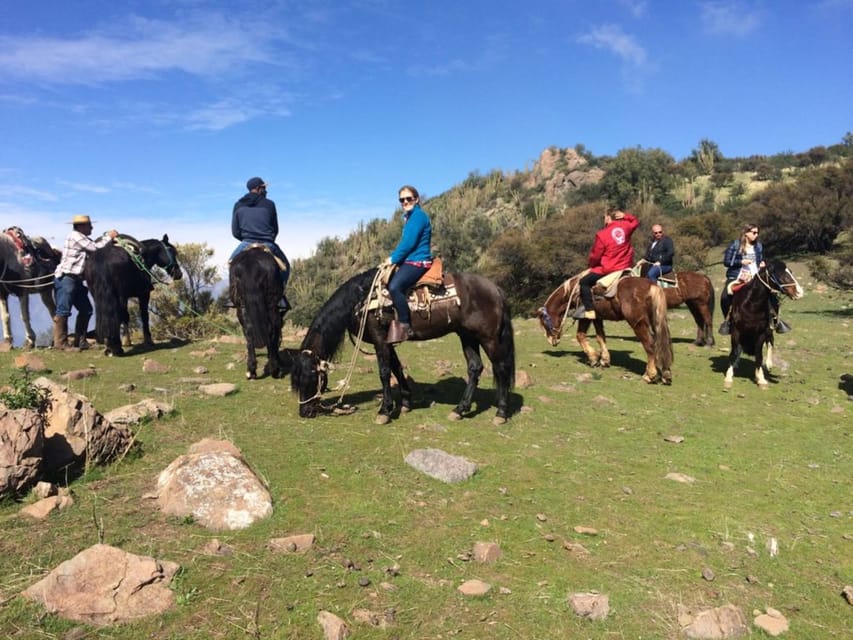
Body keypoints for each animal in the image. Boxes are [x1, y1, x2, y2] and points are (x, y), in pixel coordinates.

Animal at [228, 246, 284, 378]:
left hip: (241, 306)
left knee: (248, 332)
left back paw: (251, 370)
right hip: (271, 305)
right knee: (271, 330)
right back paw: (274, 369)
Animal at [290, 266, 516, 424]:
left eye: (310, 378)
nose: (305, 412)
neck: (361, 300)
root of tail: (496, 289)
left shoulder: (379, 339)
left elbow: (384, 372)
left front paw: (384, 411)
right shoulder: (387, 341)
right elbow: (397, 368)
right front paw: (406, 403)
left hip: (488, 338)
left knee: (501, 368)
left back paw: (501, 413)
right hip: (467, 336)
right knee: (475, 367)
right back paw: (460, 410)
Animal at [540, 272, 672, 382]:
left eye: (544, 322)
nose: (552, 341)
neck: (574, 290)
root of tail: (652, 286)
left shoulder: (585, 317)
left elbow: (580, 336)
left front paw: (593, 359)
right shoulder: (597, 318)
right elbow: (600, 337)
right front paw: (604, 360)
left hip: (638, 323)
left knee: (650, 345)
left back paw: (650, 375)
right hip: (655, 321)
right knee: (662, 343)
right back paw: (665, 374)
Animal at [724, 256, 804, 388]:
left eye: (790, 272)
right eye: (780, 274)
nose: (799, 292)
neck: (751, 305)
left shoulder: (761, 332)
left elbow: (759, 355)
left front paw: (761, 378)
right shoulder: (736, 331)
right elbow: (734, 352)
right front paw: (729, 377)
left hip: (770, 328)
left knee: (770, 342)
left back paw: (769, 364)